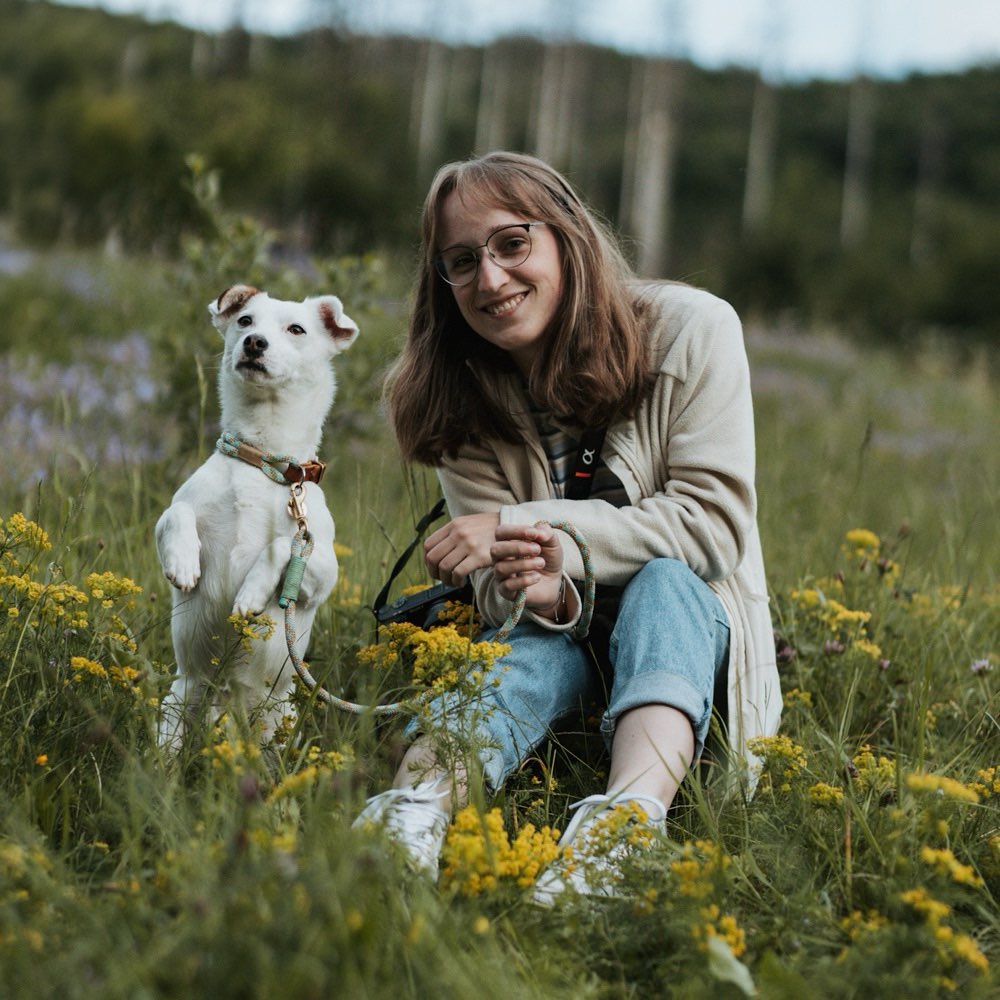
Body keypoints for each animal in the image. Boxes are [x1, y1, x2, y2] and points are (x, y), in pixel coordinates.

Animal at [156, 284, 360, 752]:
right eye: (244, 320)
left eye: (297, 329)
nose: (254, 343)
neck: (263, 461)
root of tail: (227, 699)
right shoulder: (170, 515)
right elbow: (177, 512)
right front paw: (183, 563)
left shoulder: (321, 571)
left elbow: (282, 544)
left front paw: (251, 594)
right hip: (179, 700)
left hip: (279, 723)